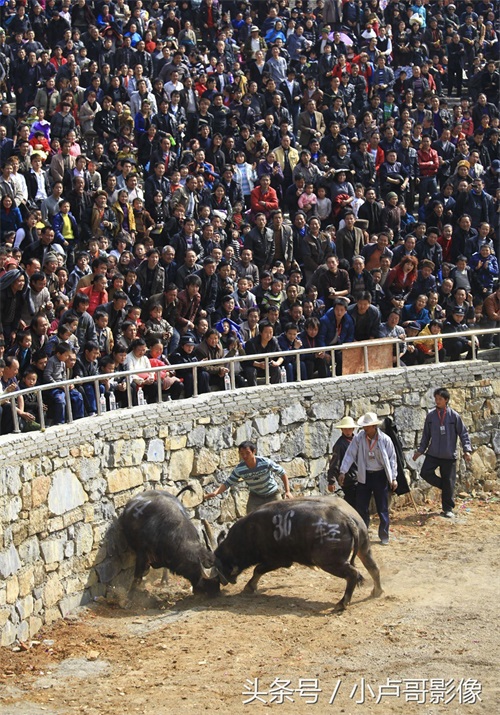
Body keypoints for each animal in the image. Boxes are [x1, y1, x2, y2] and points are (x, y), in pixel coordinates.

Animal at [215, 498, 382, 608]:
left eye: (222, 562)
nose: (223, 580)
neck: (250, 532)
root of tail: (347, 519)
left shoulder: (279, 560)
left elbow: (258, 569)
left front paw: (250, 587)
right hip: (364, 549)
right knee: (373, 568)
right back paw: (377, 591)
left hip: (329, 561)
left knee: (353, 574)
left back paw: (342, 603)